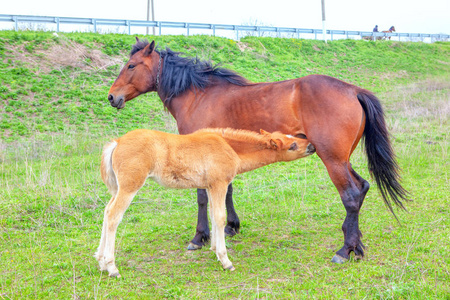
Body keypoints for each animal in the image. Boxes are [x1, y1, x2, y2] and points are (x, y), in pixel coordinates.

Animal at [95, 127, 314, 276]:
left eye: (293, 137)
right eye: (292, 146)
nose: (312, 145)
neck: (229, 148)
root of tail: (117, 142)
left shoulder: (210, 187)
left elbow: (212, 215)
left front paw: (214, 249)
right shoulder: (219, 184)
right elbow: (220, 217)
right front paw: (225, 260)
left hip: (118, 188)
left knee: (106, 212)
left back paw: (100, 261)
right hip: (129, 186)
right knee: (113, 216)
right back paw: (111, 267)